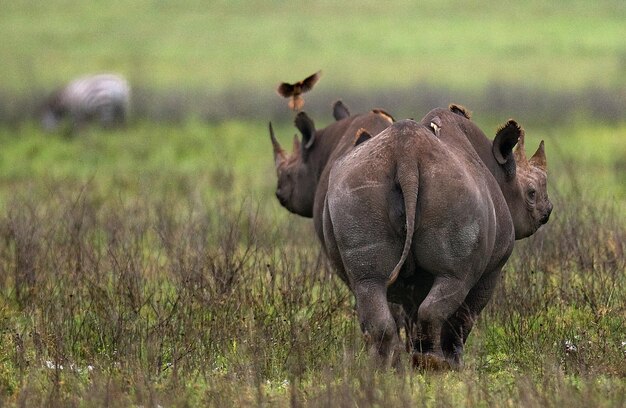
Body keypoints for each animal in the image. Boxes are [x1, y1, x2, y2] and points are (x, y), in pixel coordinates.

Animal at [322, 103, 552, 368]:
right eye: (531, 193)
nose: (547, 211)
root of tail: (407, 157)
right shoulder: (493, 269)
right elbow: (465, 316)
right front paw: (455, 362)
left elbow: (412, 311)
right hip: (454, 193)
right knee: (452, 279)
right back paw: (433, 363)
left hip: (357, 187)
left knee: (369, 283)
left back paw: (387, 367)